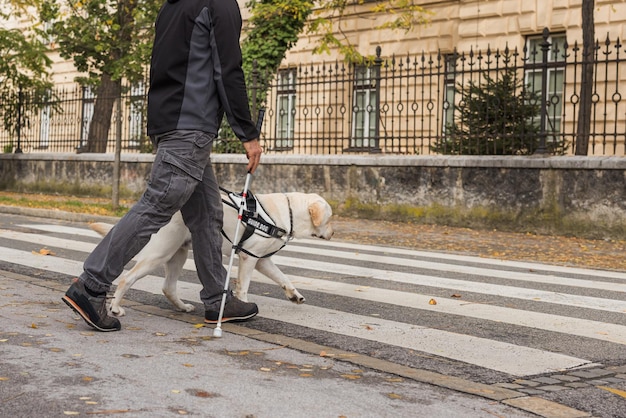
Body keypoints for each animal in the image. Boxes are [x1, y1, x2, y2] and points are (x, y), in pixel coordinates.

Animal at [90, 193, 334, 316]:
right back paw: (115, 308)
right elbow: (244, 286)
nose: (333, 233)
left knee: (168, 287)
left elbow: (283, 277)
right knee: (126, 278)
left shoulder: (262, 260)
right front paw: (244, 303)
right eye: (330, 218)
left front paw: (295, 295)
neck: (289, 212)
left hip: (178, 254)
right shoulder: (249, 257)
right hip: (159, 254)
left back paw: (182, 307)